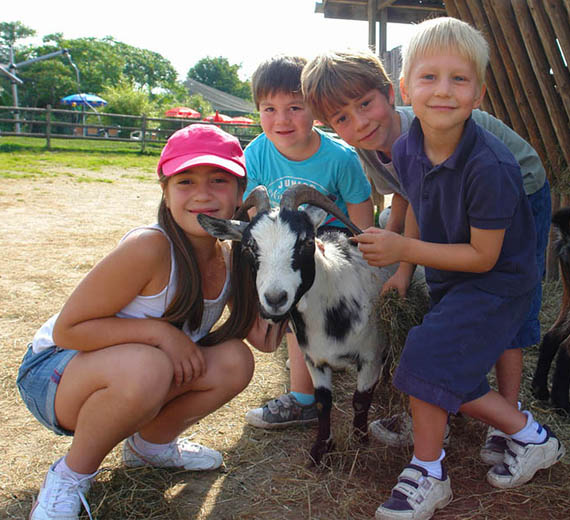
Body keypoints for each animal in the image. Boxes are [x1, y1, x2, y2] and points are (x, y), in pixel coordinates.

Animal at [200, 186, 404, 464]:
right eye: (249, 246)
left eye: (306, 242)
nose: (275, 299)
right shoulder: (314, 360)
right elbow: (322, 403)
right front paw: (321, 450)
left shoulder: (370, 355)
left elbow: (361, 400)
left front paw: (360, 440)